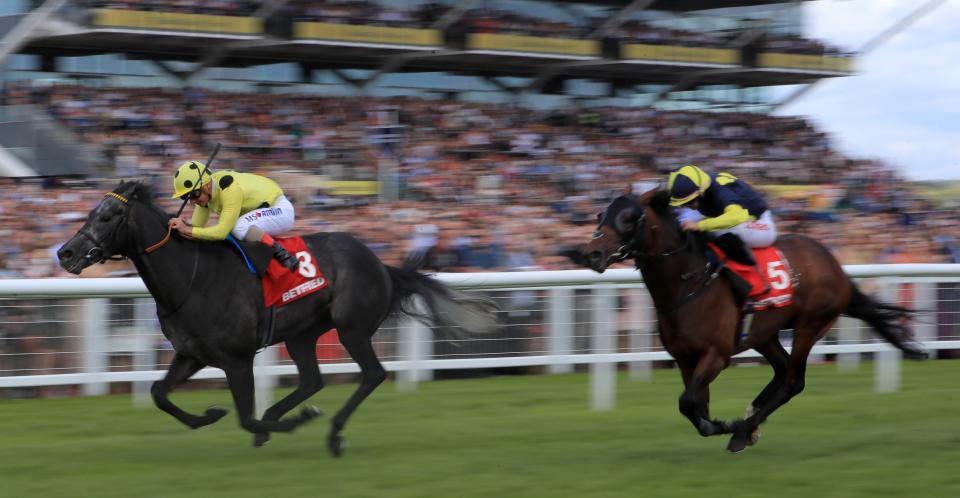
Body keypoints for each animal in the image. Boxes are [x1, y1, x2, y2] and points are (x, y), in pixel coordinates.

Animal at [56, 182, 498, 456]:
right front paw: (210, 415)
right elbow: (159, 394)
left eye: (108, 216)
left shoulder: (236, 358)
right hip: (303, 334)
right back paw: (290, 415)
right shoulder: (191, 354)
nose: (65, 253)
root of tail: (381, 263)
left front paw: (287, 424)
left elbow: (246, 418)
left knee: (372, 374)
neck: (190, 277)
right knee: (312, 380)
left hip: (352, 327)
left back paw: (332, 433)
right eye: (92, 211)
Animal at [580, 189, 928, 454]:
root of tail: (836, 266)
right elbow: (694, 406)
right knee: (782, 372)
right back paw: (751, 422)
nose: (592, 254)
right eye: (600, 216)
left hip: (810, 325)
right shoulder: (684, 358)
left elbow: (689, 401)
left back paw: (743, 429)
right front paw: (722, 424)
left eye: (629, 218)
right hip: (765, 334)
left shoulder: (716, 354)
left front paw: (728, 425)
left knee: (793, 380)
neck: (686, 285)